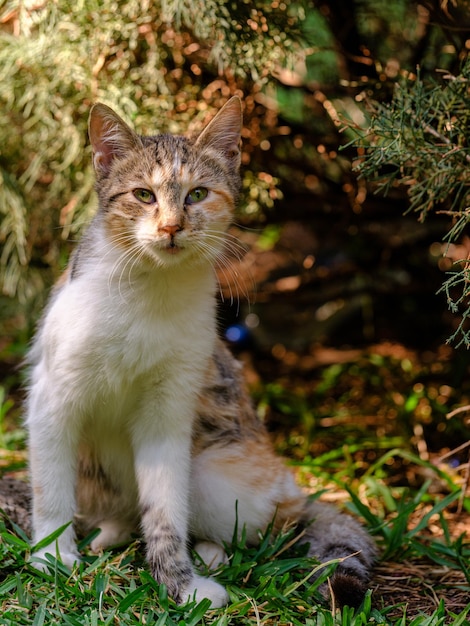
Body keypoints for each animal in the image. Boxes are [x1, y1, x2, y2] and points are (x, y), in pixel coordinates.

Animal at [27, 96, 376, 604]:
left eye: (197, 195)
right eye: (143, 195)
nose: (172, 227)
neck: (150, 287)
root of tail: (293, 487)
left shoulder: (168, 413)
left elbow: (166, 509)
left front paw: (180, 583)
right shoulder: (53, 398)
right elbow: (51, 490)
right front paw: (53, 555)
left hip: (217, 478)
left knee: (268, 523)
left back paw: (211, 552)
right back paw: (110, 534)